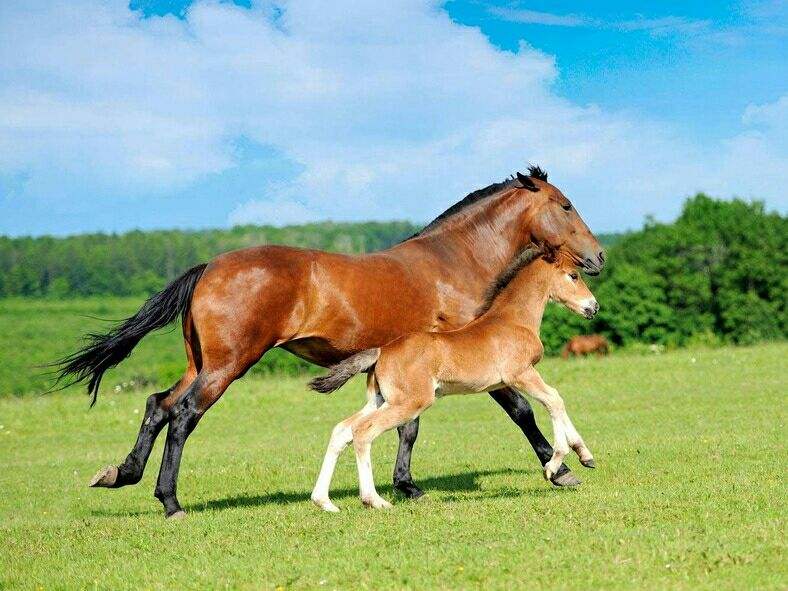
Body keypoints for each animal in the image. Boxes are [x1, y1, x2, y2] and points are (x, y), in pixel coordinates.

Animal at [308, 247, 596, 512]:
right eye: (573, 275)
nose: (593, 306)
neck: (513, 321)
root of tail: (382, 351)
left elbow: (555, 401)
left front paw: (585, 456)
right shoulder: (520, 374)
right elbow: (554, 400)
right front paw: (554, 467)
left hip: (381, 400)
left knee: (342, 430)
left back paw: (324, 501)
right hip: (410, 403)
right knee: (363, 432)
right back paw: (374, 500)